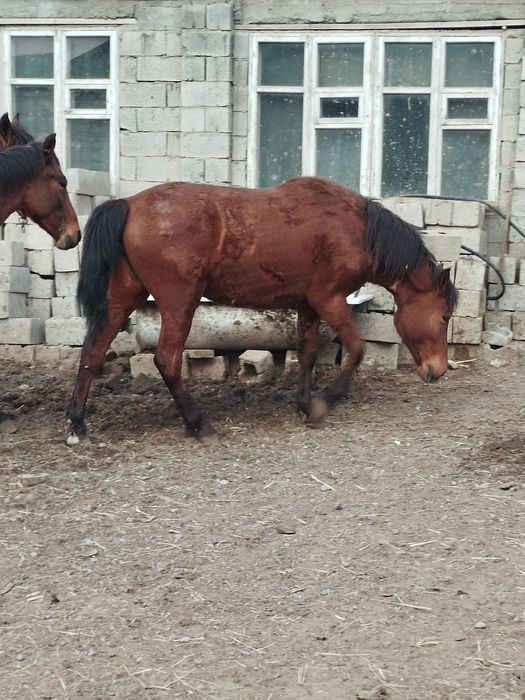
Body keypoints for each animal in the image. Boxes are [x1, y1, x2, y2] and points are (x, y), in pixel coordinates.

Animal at [66, 176, 458, 445]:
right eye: (443, 316)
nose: (437, 370)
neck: (356, 227)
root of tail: (129, 203)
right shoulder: (329, 299)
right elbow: (356, 349)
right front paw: (323, 404)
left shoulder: (308, 304)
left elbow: (307, 353)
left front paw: (304, 404)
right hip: (180, 303)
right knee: (167, 360)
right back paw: (199, 424)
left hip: (123, 297)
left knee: (93, 352)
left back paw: (78, 425)